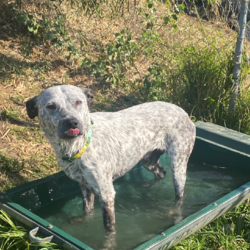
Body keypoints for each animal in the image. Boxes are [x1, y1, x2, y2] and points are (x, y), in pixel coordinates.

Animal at [26, 84, 196, 232]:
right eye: (51, 106)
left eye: (78, 102)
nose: (72, 122)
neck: (79, 146)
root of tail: (184, 112)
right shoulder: (85, 185)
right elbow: (87, 211)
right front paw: (82, 221)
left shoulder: (106, 194)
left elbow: (109, 229)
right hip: (147, 160)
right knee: (161, 172)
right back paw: (146, 185)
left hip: (178, 166)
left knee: (180, 196)